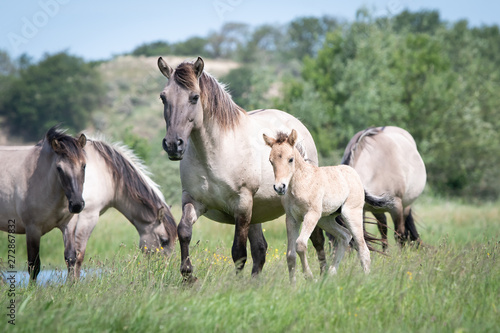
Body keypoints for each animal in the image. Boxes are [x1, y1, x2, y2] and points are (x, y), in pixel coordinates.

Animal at [0, 126, 87, 278]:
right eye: (59, 168)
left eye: (83, 166)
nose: (76, 204)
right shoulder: (33, 229)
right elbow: (34, 265)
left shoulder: (68, 224)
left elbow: (70, 258)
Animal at [264, 129, 392, 280]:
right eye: (271, 161)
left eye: (290, 159)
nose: (280, 187)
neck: (301, 183)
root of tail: (355, 174)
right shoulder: (292, 219)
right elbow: (290, 255)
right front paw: (293, 284)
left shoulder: (311, 215)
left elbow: (300, 244)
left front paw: (309, 277)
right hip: (325, 220)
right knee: (345, 236)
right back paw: (330, 274)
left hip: (350, 214)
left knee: (362, 248)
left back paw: (364, 279)